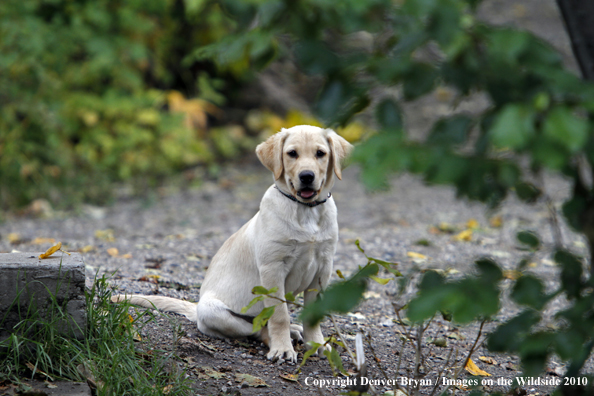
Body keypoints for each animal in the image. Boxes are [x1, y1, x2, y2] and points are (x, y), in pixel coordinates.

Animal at [111, 125, 352, 364]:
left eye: (320, 153)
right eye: (292, 153)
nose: (307, 176)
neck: (305, 210)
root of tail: (196, 309)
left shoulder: (323, 268)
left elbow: (314, 315)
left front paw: (317, 345)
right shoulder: (273, 268)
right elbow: (279, 315)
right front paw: (283, 349)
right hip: (215, 312)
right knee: (257, 328)